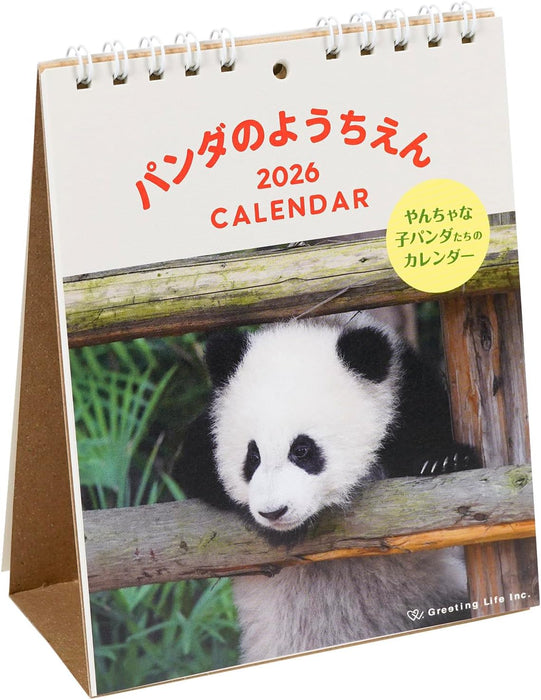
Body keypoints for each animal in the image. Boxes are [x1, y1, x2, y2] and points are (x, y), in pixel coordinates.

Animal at [172, 312, 479, 663]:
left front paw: (444, 460)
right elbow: (192, 469)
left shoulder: (408, 390)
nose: (274, 512)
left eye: (302, 450)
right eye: (253, 456)